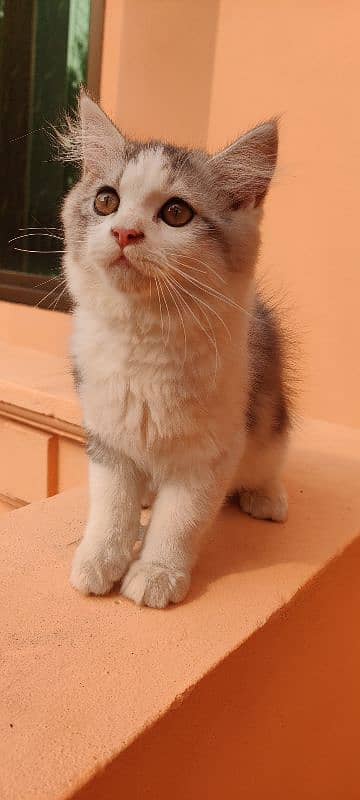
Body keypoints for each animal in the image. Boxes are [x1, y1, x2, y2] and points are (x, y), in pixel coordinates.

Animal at [59, 90, 290, 608]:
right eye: (106, 201)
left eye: (176, 213)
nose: (124, 232)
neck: (144, 338)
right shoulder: (107, 434)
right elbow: (111, 507)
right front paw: (99, 558)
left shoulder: (211, 451)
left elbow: (180, 520)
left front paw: (156, 573)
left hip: (270, 423)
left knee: (266, 463)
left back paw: (266, 497)